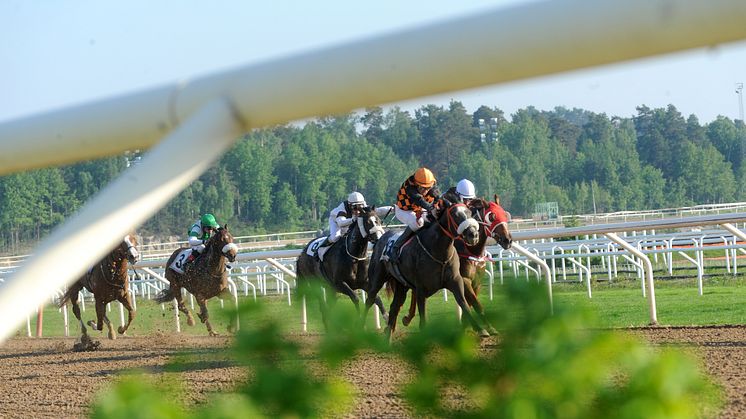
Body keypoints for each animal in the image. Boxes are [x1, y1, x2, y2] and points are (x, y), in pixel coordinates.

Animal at [362, 200, 482, 342]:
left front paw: (481, 329)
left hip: (401, 285)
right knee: (370, 300)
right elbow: (423, 320)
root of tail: (380, 239)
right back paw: (360, 327)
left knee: (394, 307)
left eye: (469, 212)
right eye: (455, 215)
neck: (438, 251)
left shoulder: (455, 281)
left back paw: (388, 339)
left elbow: (464, 304)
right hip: (376, 280)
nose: (473, 235)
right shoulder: (420, 289)